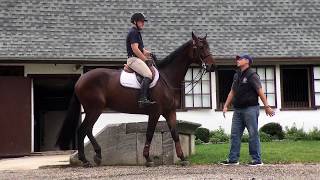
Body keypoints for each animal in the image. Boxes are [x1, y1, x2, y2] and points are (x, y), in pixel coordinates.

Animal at [56, 31, 216, 167]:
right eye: (201, 47)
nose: (212, 66)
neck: (166, 78)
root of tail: (80, 80)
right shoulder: (155, 112)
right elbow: (149, 133)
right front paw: (148, 159)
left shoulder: (170, 111)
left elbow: (175, 134)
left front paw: (182, 158)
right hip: (94, 109)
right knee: (82, 130)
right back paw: (85, 160)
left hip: (94, 110)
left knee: (88, 130)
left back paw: (98, 155)